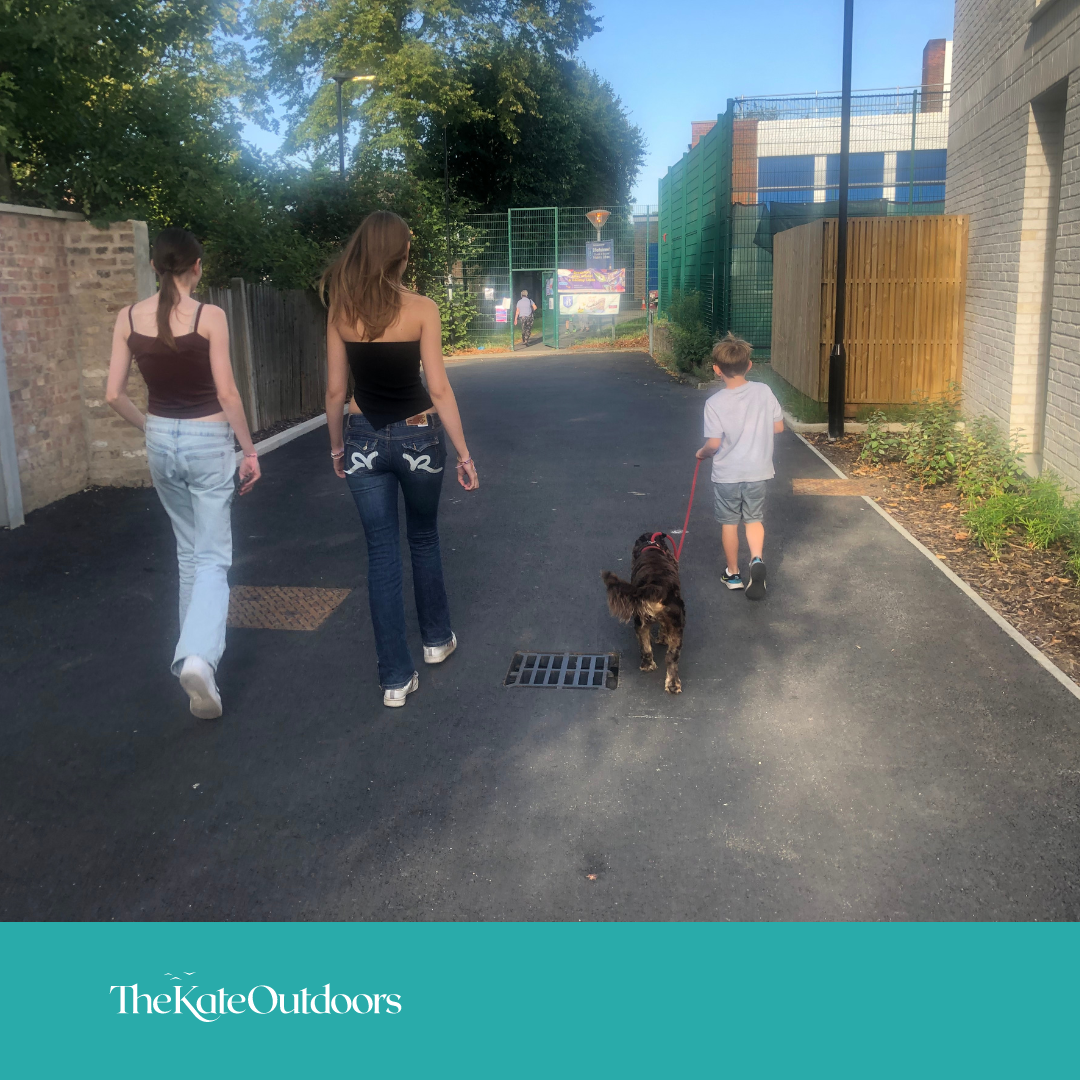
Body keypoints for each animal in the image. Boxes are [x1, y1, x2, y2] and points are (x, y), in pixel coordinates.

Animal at [604, 529, 686, 691]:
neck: (651, 547)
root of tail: (657, 587)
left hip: (645, 623)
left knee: (651, 649)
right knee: (666, 656)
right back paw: (670, 682)